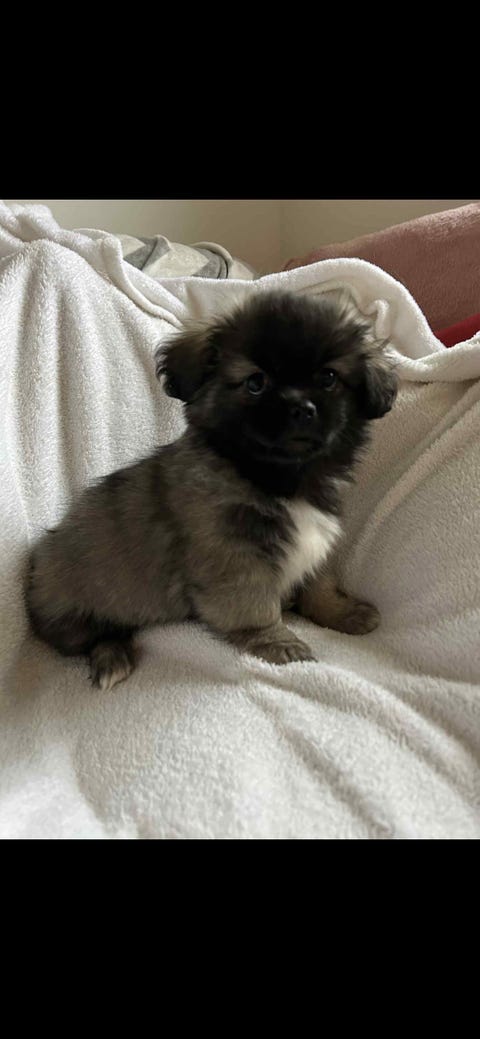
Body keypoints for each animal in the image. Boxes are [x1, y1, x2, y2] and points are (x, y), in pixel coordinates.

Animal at [26, 289, 397, 690]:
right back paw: (113, 657)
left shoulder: (315, 543)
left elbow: (320, 585)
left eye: (328, 377)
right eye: (256, 382)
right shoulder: (234, 560)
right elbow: (256, 609)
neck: (278, 479)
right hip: (72, 607)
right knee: (89, 637)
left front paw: (344, 613)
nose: (301, 407)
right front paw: (279, 645)